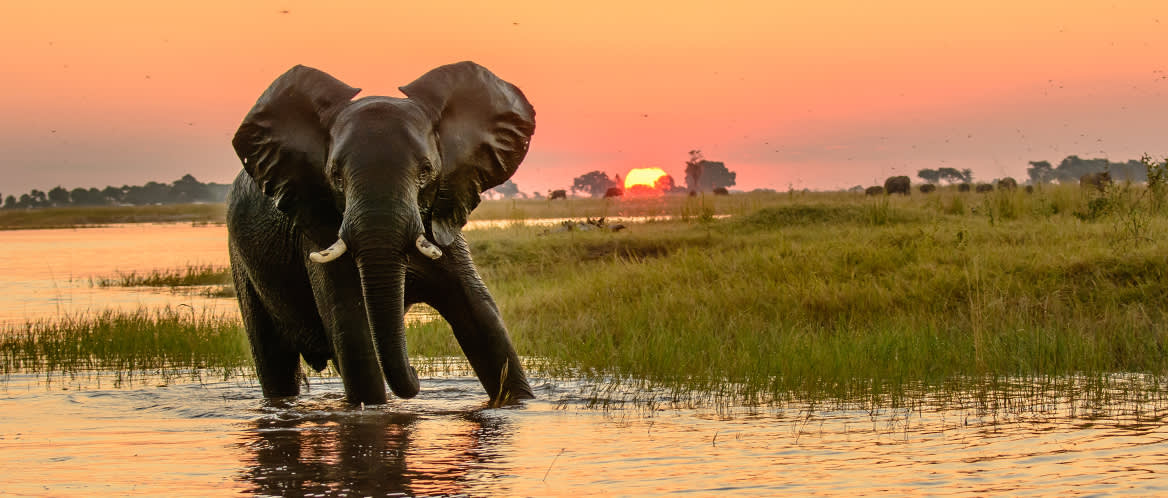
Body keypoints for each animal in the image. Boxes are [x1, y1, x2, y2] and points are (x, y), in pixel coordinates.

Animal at [225, 61, 534, 404]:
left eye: (426, 171)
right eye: (335, 176)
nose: (417, 374)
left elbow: (482, 318)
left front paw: (519, 403)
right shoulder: (319, 229)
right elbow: (353, 333)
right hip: (242, 263)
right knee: (273, 361)